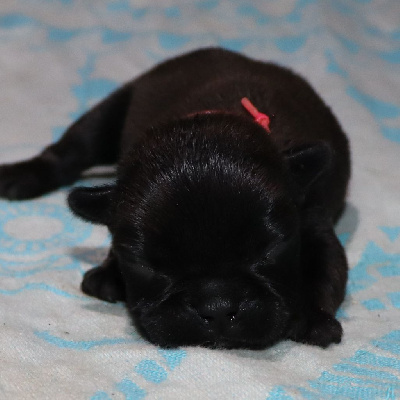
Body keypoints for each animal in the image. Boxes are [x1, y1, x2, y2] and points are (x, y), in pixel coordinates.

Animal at [0, 48, 350, 348]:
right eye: (144, 264)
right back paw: (21, 176)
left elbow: (326, 270)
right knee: (72, 150)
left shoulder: (312, 219)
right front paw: (109, 272)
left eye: (272, 250)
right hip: (112, 110)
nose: (218, 307)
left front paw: (314, 319)